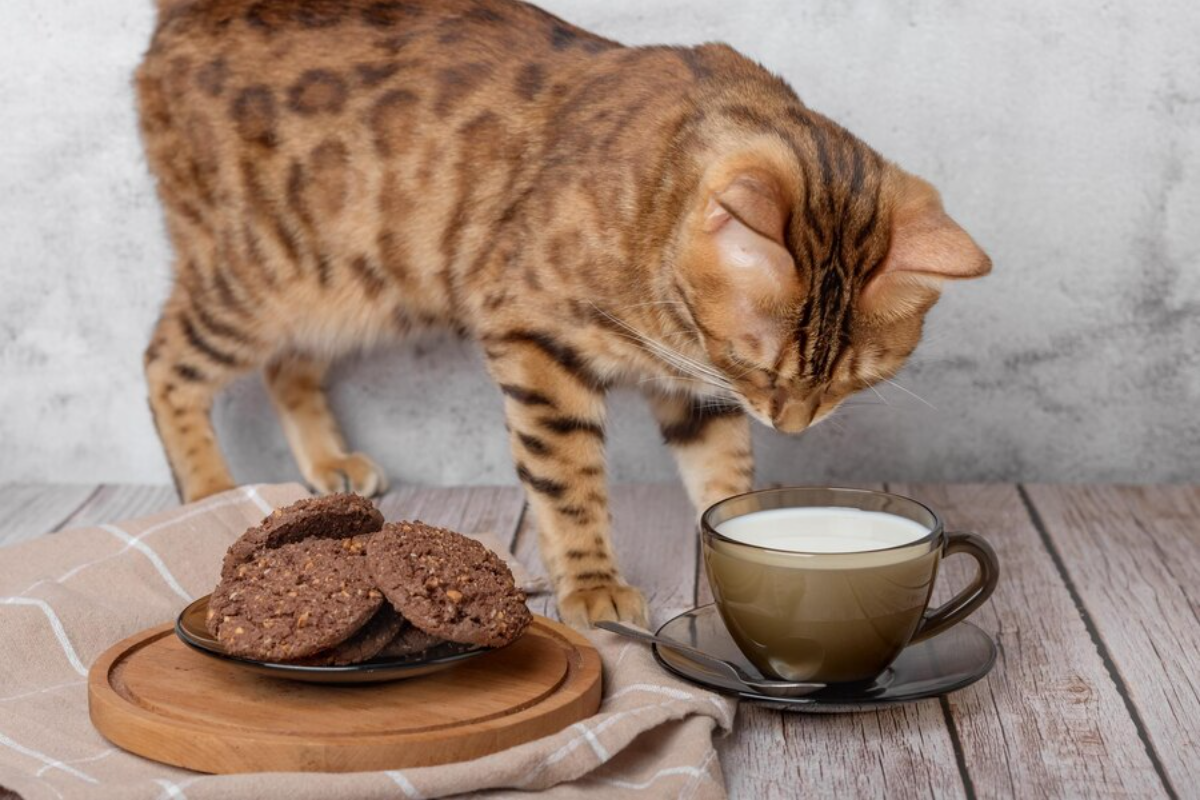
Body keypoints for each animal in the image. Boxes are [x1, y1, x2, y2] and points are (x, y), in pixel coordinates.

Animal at [136, 0, 988, 628]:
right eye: (756, 361)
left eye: (850, 382)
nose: (794, 423)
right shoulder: (536, 339)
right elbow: (566, 478)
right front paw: (591, 584)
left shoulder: (694, 388)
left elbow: (723, 469)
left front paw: (740, 528)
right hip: (257, 275)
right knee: (165, 363)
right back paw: (210, 492)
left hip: (344, 290)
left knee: (287, 364)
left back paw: (328, 464)